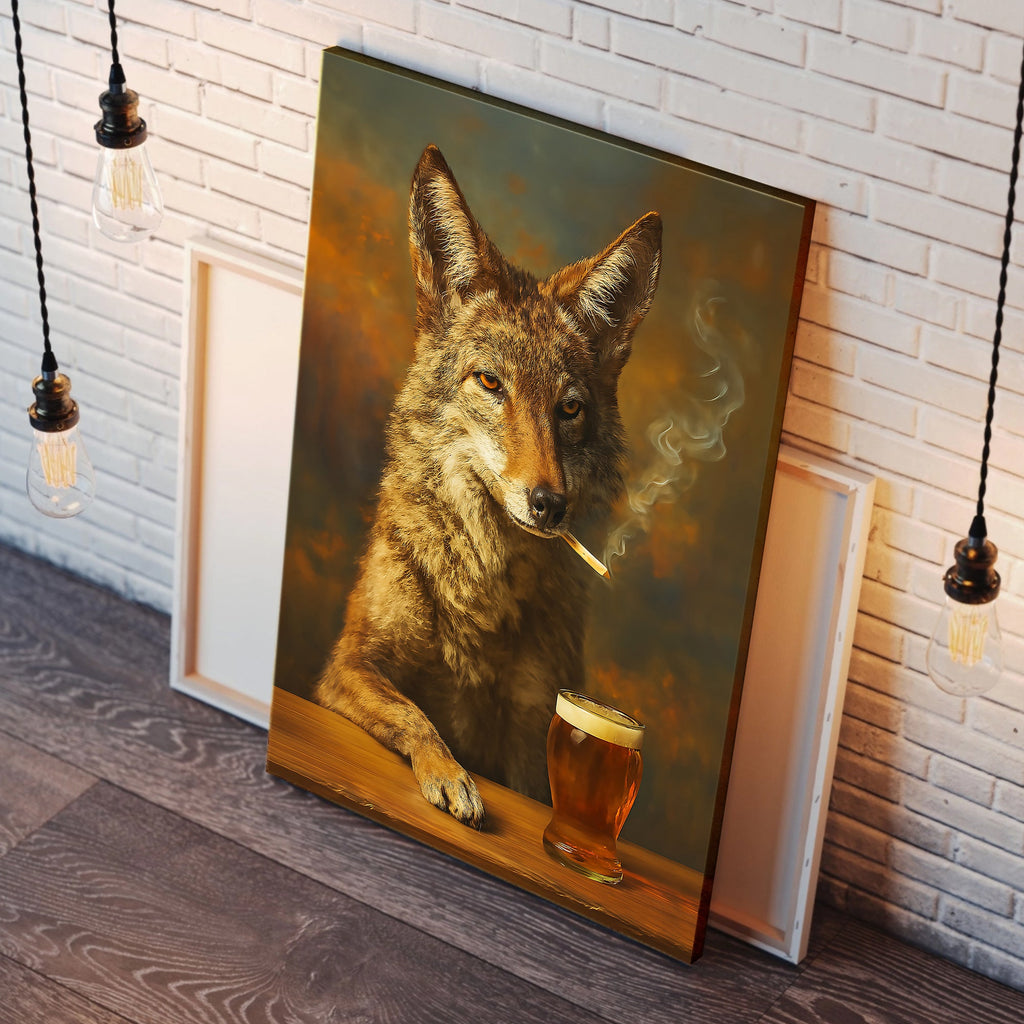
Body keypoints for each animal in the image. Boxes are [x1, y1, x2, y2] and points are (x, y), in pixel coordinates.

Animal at [315, 145, 661, 828]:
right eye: (491, 383)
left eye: (569, 408)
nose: (550, 504)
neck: (484, 589)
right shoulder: (348, 664)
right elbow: (417, 717)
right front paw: (452, 778)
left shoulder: (532, 728)